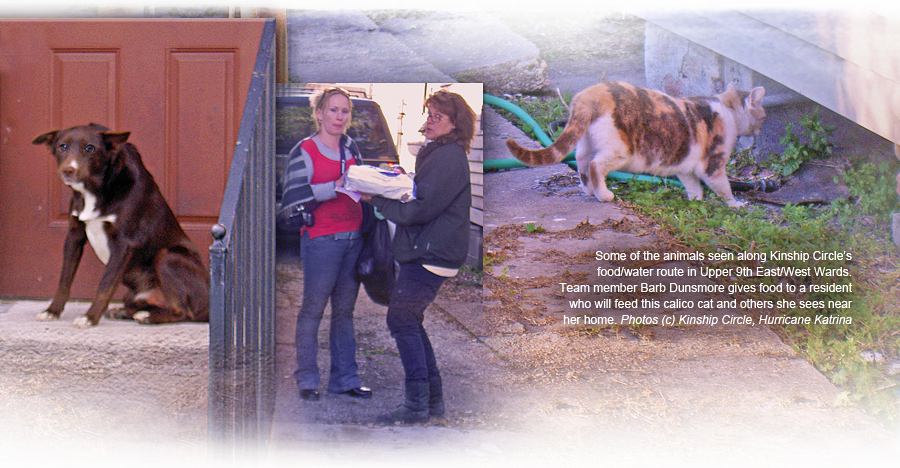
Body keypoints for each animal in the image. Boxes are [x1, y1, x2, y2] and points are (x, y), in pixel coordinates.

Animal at [31, 124, 211, 330]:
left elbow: (106, 283)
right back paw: (124, 312)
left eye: (90, 148)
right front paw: (52, 311)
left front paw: (90, 317)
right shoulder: (74, 236)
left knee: (183, 311)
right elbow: (64, 279)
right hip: (132, 294)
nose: (68, 170)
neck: (95, 188)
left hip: (168, 257)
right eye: (62, 147)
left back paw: (148, 317)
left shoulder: (124, 243)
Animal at [506, 81, 768, 207]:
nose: (762, 125)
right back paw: (604, 195)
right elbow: (724, 188)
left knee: (581, 162)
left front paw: (695, 201)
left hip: (586, 142)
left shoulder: (686, 167)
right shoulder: (713, 165)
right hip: (620, 151)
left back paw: (589, 190)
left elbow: (693, 186)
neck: (728, 110)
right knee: (595, 166)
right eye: (764, 114)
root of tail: (591, 93)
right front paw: (736, 204)